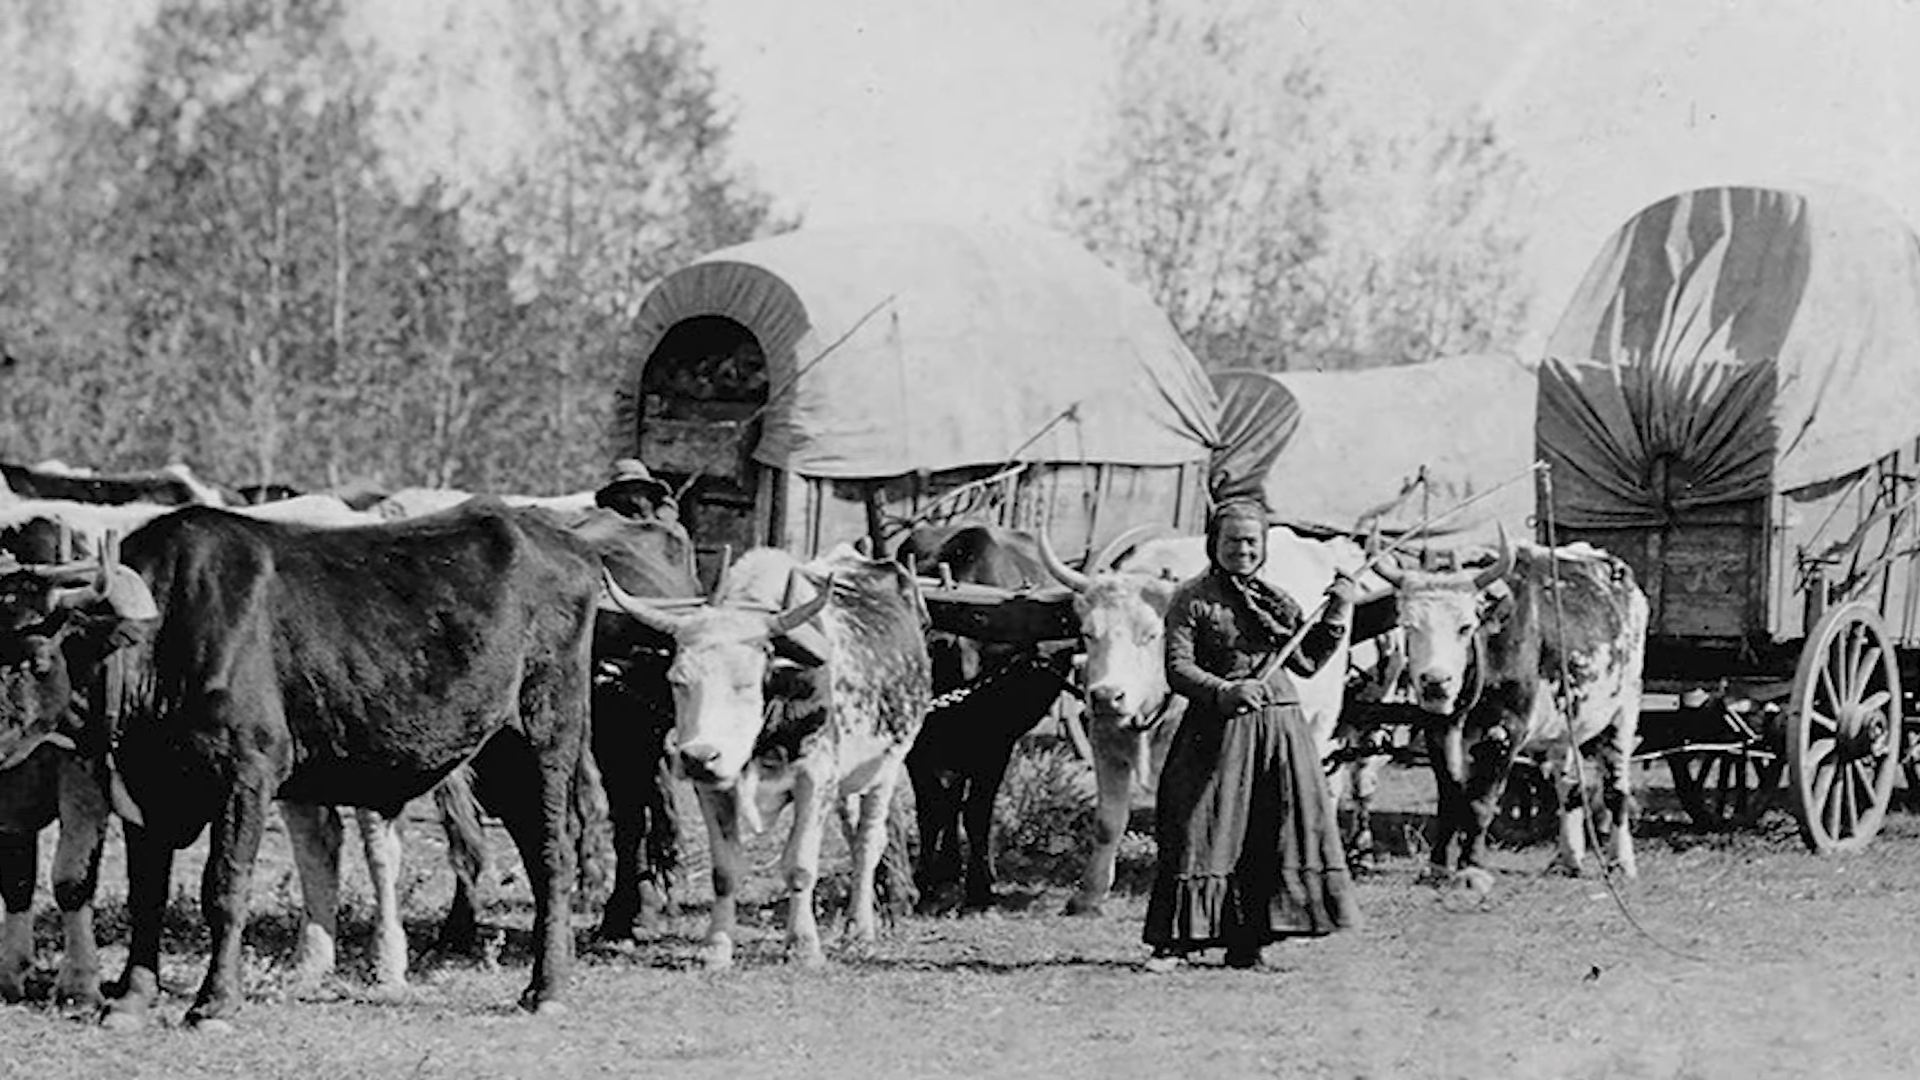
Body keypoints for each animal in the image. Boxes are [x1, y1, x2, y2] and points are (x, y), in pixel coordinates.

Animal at [59, 501, 598, 1029]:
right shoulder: (143, 791)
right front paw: (130, 999)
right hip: (501, 759)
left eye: (44, 658)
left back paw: (546, 989)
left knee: (552, 855)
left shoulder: (247, 776)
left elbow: (225, 888)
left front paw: (214, 1003)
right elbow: (147, 894)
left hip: (542, 740)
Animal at [601, 546, 932, 969]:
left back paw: (859, 929)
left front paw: (803, 945)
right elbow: (724, 872)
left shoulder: (815, 778)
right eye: (677, 680)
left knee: (868, 844)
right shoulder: (713, 788)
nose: (698, 757)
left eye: (746, 683)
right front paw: (716, 946)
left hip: (886, 768)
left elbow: (800, 866)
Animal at [893, 525, 1077, 914]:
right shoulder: (916, 751)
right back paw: (947, 867)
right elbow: (930, 808)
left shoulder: (996, 744)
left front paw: (980, 889)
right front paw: (925, 882)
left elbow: (976, 811)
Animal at [1373, 529, 1648, 883]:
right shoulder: (1437, 729)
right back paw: (1568, 859)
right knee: (1569, 789)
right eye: (1409, 625)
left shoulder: (1504, 731)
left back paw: (1621, 862)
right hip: (1565, 726)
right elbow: (1450, 799)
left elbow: (1480, 803)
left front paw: (1471, 868)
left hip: (1624, 711)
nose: (1435, 681)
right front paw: (1437, 867)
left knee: (1616, 789)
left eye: (1465, 626)